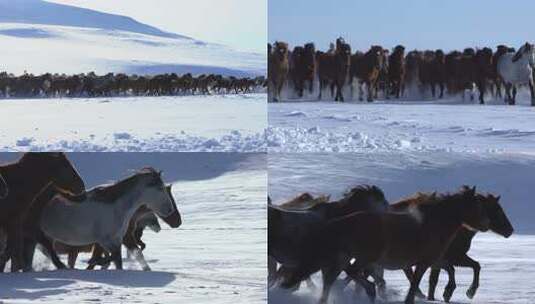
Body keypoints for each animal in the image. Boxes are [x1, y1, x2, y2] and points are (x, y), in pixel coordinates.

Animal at [37, 167, 181, 270]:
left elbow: (119, 261)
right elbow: (114, 258)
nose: (170, 210)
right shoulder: (106, 242)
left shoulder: (116, 241)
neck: (116, 208)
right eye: (160, 188)